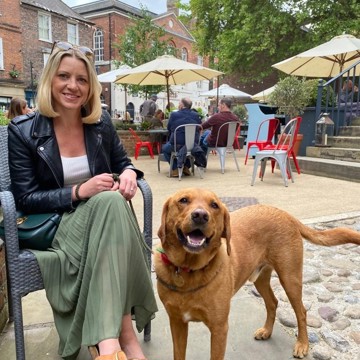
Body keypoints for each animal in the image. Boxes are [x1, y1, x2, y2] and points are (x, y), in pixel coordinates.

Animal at [154, 188, 360, 360]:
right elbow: (178, 354)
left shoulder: (219, 328)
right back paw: (267, 331)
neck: (187, 269)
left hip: (290, 278)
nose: (200, 216)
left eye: (214, 205)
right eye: (183, 200)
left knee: (301, 311)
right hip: (260, 279)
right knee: (273, 303)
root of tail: (285, 213)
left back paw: (302, 344)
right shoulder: (177, 323)